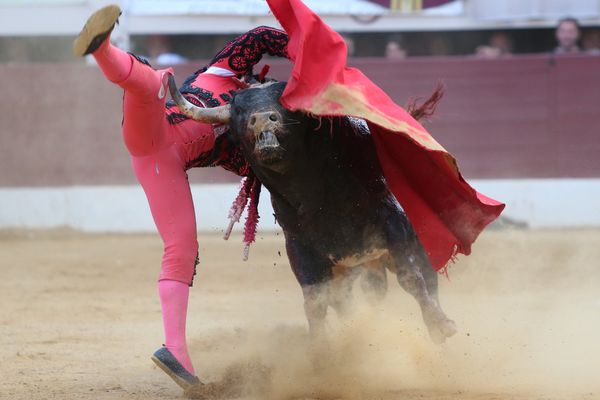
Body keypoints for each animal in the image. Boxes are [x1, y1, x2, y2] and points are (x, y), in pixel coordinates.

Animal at [166, 78, 458, 344]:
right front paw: (321, 348)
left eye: (286, 103)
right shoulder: (300, 245)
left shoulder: (395, 223)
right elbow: (315, 300)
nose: (263, 120)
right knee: (354, 297)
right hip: (351, 267)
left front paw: (441, 325)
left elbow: (411, 276)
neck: (319, 192)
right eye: (239, 109)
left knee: (425, 277)